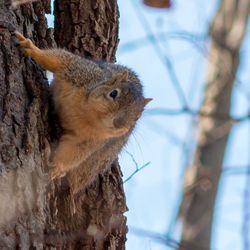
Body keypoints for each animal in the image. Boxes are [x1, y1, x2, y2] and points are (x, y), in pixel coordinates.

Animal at [15, 31, 151, 187]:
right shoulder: (82, 73)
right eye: (113, 93)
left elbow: (74, 152)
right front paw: (32, 48)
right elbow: (58, 59)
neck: (88, 114)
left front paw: (58, 167)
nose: (119, 123)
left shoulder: (90, 141)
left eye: (137, 117)